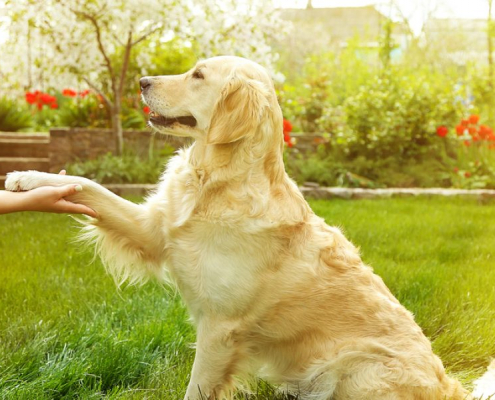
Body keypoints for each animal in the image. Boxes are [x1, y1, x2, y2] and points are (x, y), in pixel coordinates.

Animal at [5, 56, 495, 400]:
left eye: (198, 75)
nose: (142, 81)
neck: (217, 181)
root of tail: (450, 387)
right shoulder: (153, 229)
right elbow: (86, 184)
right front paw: (28, 179)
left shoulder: (221, 328)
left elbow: (196, 388)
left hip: (358, 369)